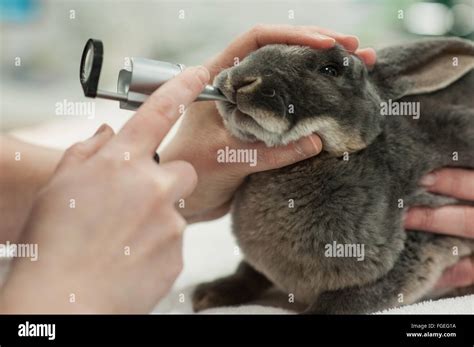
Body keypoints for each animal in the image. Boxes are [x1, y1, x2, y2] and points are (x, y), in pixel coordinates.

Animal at [191, 38, 472, 316]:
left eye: (330, 70)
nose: (241, 79)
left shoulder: (414, 250)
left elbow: (340, 302)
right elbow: (248, 272)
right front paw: (209, 295)